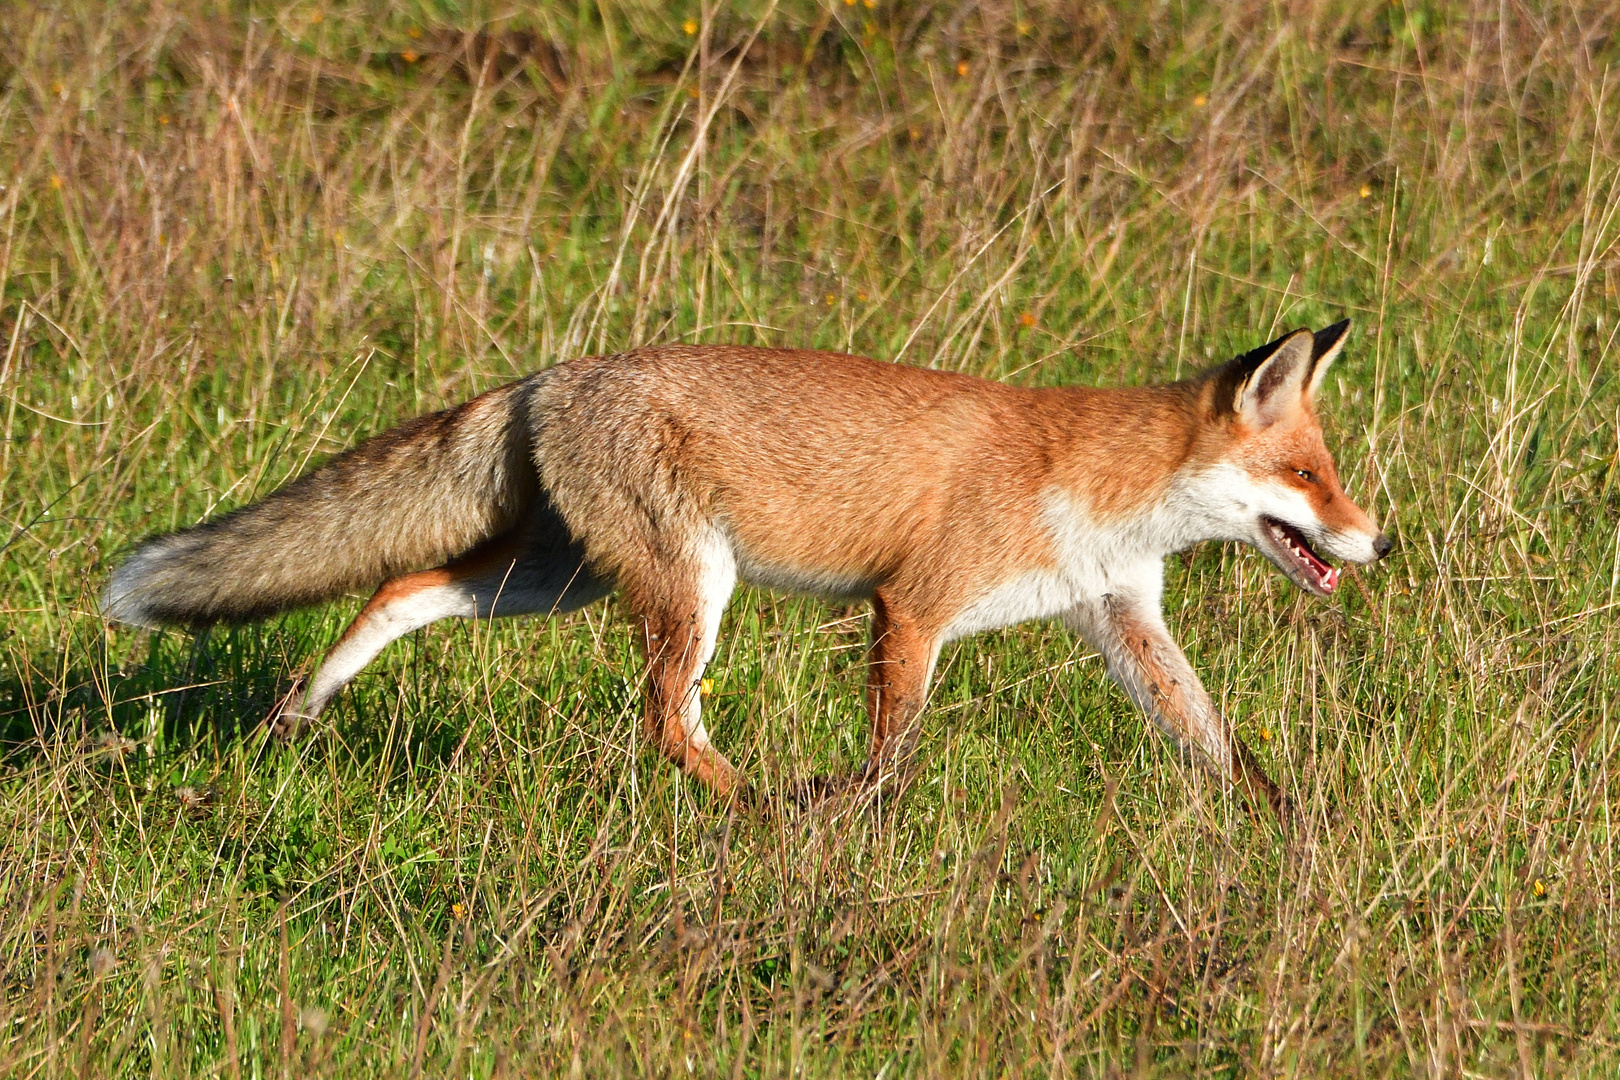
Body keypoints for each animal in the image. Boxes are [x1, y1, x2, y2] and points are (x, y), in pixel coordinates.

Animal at [104, 320, 1393, 819]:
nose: (1379, 540)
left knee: (397, 588)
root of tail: (550, 373)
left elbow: (1218, 743)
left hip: (557, 580)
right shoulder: (912, 607)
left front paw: (1294, 834)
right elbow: (889, 757)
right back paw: (764, 810)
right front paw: (852, 818)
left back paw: (303, 706)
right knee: (669, 724)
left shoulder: (1124, 620)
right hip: (691, 586)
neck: (1094, 486)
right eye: (1311, 478)